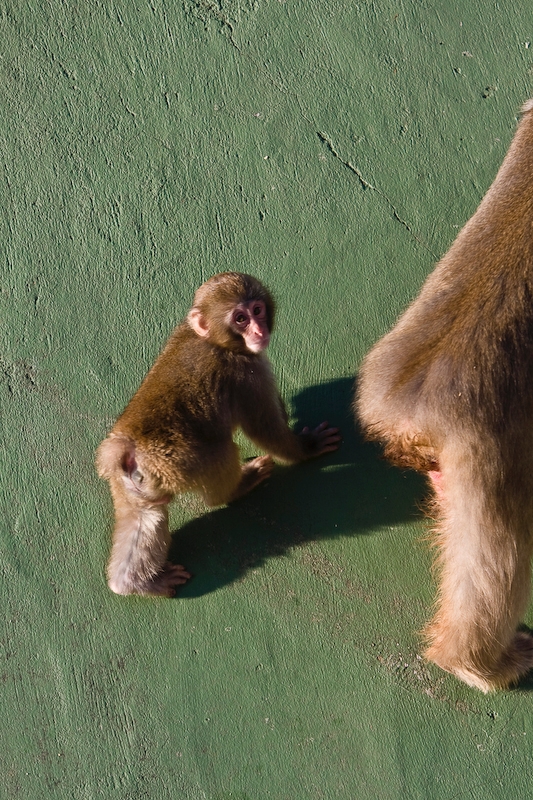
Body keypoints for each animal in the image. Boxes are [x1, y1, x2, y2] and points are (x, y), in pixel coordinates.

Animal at [97, 272, 341, 598]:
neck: (214, 340)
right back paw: (237, 488)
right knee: (223, 453)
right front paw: (307, 447)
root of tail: (127, 447)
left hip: (132, 486)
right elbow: (265, 428)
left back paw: (133, 583)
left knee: (147, 515)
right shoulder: (246, 374)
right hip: (181, 461)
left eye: (257, 310)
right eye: (240, 318)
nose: (258, 329)